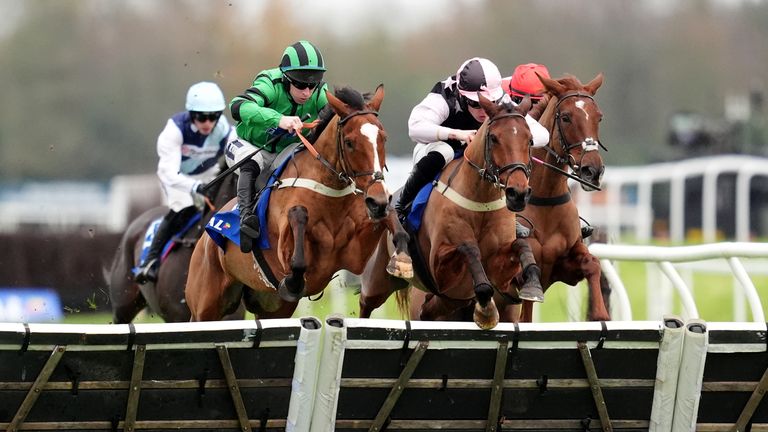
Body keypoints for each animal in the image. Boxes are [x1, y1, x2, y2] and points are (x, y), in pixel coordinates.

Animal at [185, 85, 412, 320]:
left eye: (383, 139)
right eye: (349, 142)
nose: (377, 200)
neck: (328, 190)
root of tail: (204, 239)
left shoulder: (354, 252)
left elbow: (391, 218)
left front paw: (403, 258)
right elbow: (298, 218)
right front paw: (293, 282)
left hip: (272, 308)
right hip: (205, 305)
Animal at [360, 95, 536, 330]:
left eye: (530, 140)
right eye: (494, 138)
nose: (518, 193)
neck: (481, 203)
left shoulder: (500, 271)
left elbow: (520, 245)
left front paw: (532, 281)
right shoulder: (440, 267)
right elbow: (468, 248)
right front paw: (486, 308)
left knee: (430, 310)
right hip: (378, 280)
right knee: (366, 305)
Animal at [508, 74, 616, 322]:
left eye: (599, 117)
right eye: (566, 117)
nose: (593, 171)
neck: (545, 198)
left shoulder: (564, 266)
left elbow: (593, 264)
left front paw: (600, 314)